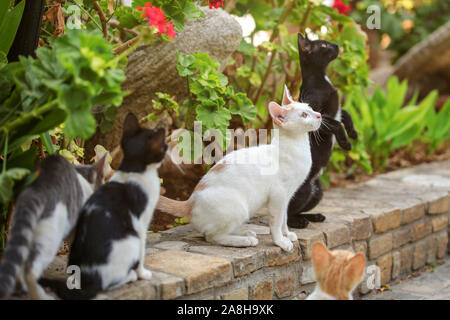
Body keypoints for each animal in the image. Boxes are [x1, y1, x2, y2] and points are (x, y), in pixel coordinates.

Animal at [40, 113, 167, 300]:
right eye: (164, 146)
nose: (167, 147)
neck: (133, 169)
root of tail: (91, 278)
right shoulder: (141, 224)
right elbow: (142, 253)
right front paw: (143, 273)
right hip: (131, 238)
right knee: (110, 282)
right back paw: (131, 275)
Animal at [156, 86, 322, 251]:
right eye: (304, 115)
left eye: (310, 108)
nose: (319, 115)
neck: (297, 145)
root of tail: (190, 202)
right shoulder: (278, 195)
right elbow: (276, 221)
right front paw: (280, 241)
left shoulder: (287, 196)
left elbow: (284, 219)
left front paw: (286, 234)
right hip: (240, 208)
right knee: (212, 237)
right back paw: (244, 240)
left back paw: (244, 233)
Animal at [288, 32, 358, 229]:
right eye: (324, 45)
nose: (337, 45)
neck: (322, 79)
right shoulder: (314, 115)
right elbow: (336, 124)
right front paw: (345, 142)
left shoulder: (337, 111)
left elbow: (345, 114)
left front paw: (353, 132)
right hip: (304, 189)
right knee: (285, 213)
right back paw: (299, 222)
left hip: (318, 190)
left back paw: (314, 216)